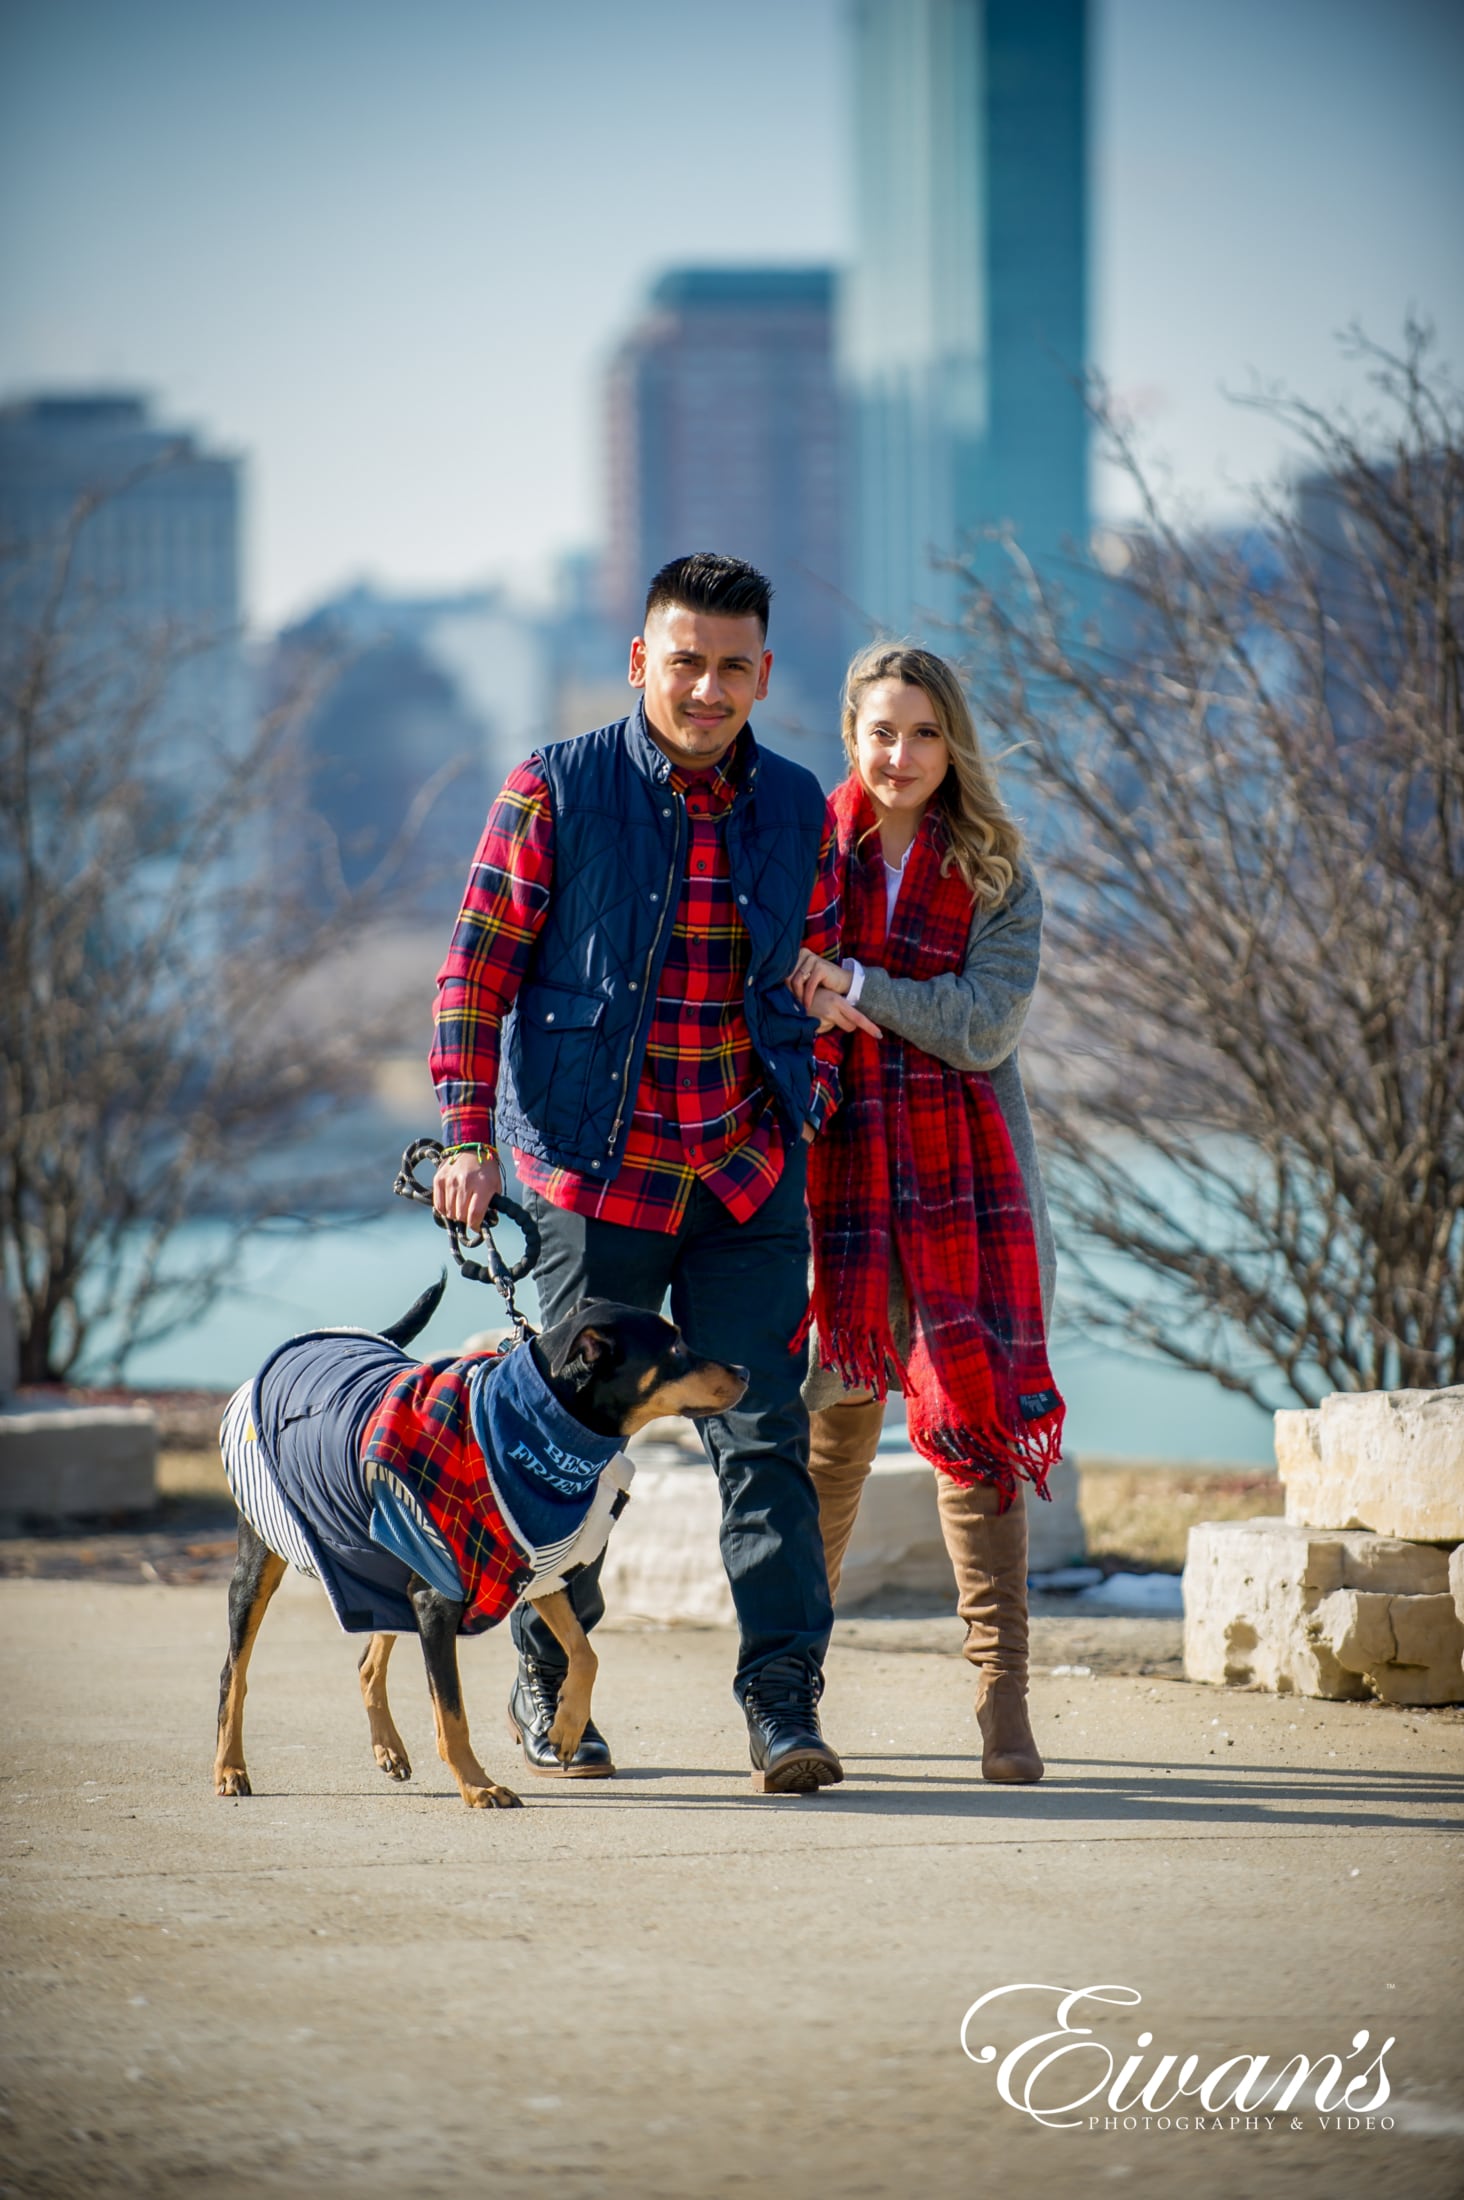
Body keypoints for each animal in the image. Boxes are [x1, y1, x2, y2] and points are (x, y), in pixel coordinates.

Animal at [211, 1284, 748, 1804]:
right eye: (674, 1347)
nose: (744, 1370)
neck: (533, 1431)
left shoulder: (533, 1566)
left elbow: (585, 1652)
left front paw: (566, 1730)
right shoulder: (436, 1598)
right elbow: (452, 1713)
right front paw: (477, 1785)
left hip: (380, 1567)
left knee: (367, 1661)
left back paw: (388, 1749)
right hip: (262, 1565)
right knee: (233, 1674)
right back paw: (230, 1769)